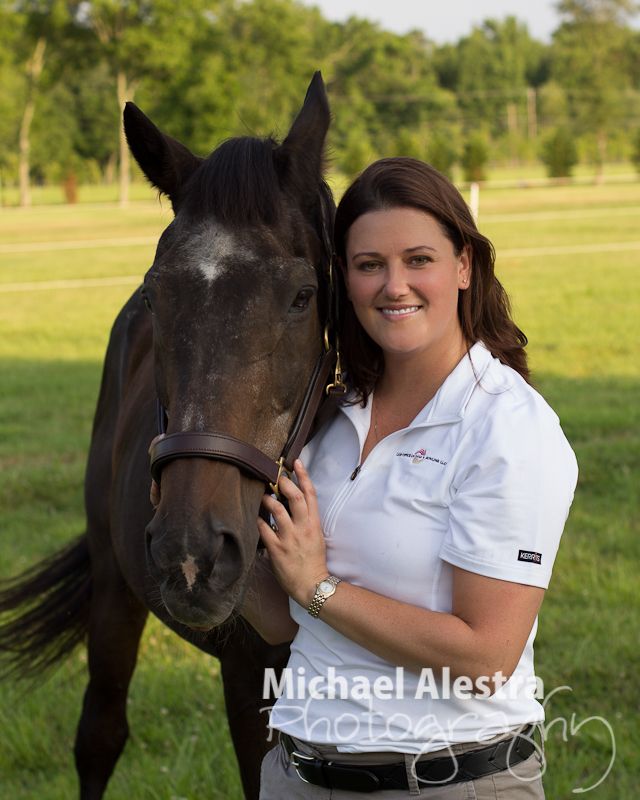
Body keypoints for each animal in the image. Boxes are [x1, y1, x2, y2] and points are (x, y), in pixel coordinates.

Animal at [0, 72, 336, 800]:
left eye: (302, 297)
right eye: (158, 297)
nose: (192, 554)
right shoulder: (248, 683)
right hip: (112, 588)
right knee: (100, 735)